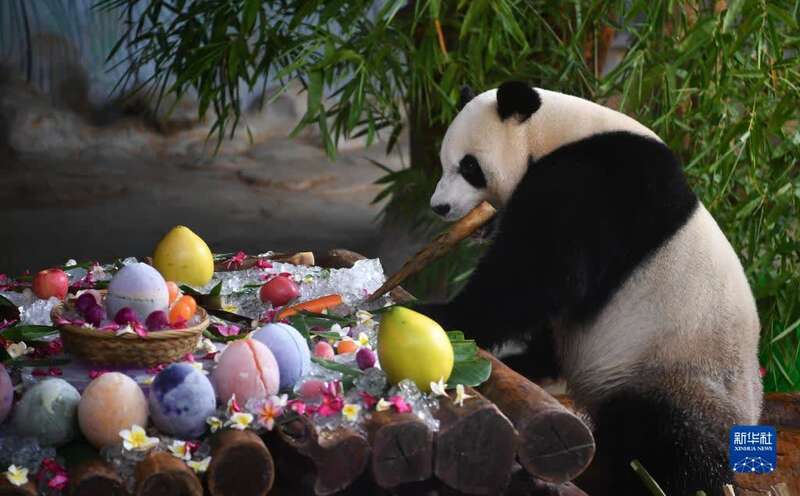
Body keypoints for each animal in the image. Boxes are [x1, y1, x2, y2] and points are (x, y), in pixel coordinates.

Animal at [418, 82, 764, 496]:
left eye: (469, 167)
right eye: (444, 162)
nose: (440, 207)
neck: (556, 132)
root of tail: (749, 414)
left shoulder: (597, 186)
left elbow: (541, 274)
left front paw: (441, 314)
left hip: (675, 371)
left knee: (667, 439)